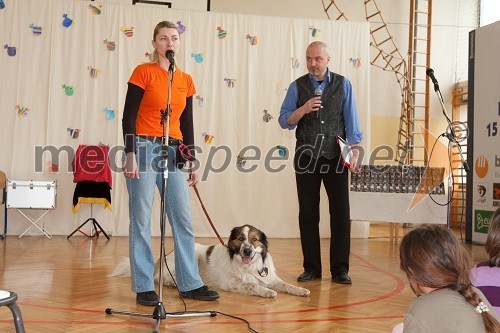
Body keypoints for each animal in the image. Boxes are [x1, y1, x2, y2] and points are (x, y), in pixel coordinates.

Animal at [111, 224, 310, 296]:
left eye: (254, 240)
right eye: (241, 239)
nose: (247, 251)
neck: (248, 266)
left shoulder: (270, 277)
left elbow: (285, 285)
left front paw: (300, 290)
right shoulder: (232, 282)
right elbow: (251, 285)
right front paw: (267, 292)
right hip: (189, 255)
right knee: (160, 277)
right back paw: (173, 283)